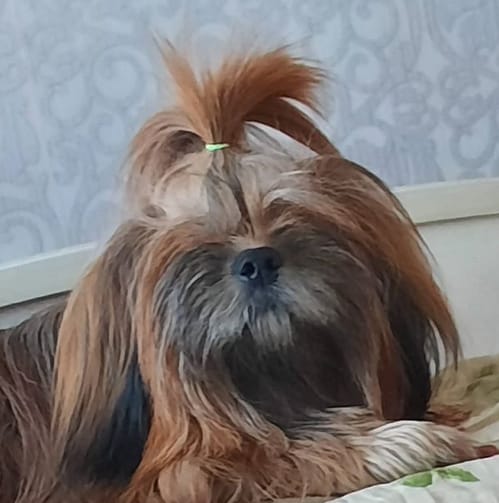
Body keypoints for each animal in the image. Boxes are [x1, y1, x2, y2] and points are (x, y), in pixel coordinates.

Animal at [1, 44, 496, 503]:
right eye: (199, 240)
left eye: (292, 217)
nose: (258, 262)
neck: (273, 384)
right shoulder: (172, 479)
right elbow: (259, 457)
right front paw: (393, 442)